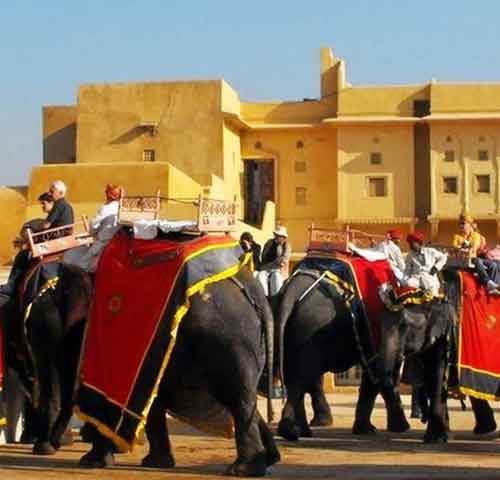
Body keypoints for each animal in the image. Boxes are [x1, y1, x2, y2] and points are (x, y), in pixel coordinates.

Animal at [274, 268, 410, 440]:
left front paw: (365, 430)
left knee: (300, 376)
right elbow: (376, 371)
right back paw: (291, 431)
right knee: (302, 377)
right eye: (403, 325)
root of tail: (292, 290)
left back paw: (301, 431)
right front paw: (398, 428)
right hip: (311, 328)